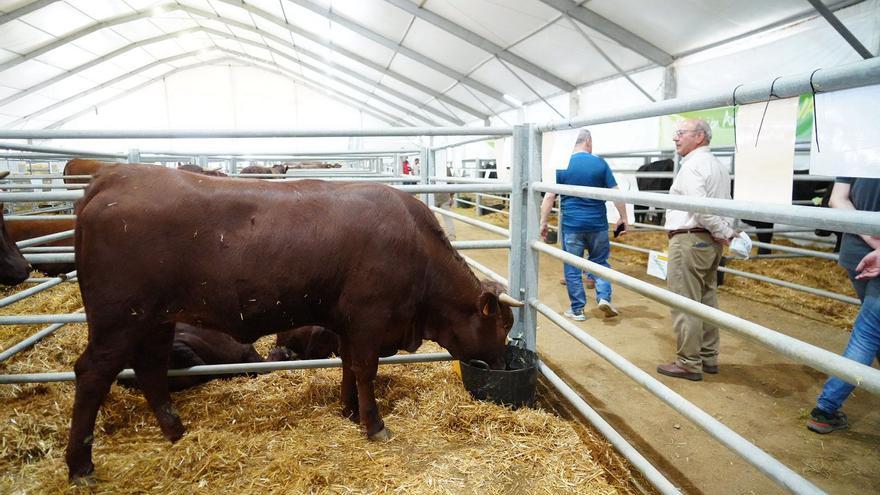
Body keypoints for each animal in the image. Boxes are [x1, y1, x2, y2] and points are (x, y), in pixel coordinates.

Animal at [69, 166, 524, 480]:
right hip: (118, 321)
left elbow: (348, 367)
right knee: (92, 374)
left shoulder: (346, 324)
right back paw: (80, 465)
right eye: (502, 326)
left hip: (157, 322)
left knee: (151, 369)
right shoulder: (368, 320)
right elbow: (365, 370)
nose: (503, 364)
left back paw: (175, 430)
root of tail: (114, 177)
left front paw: (348, 411)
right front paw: (374, 424)